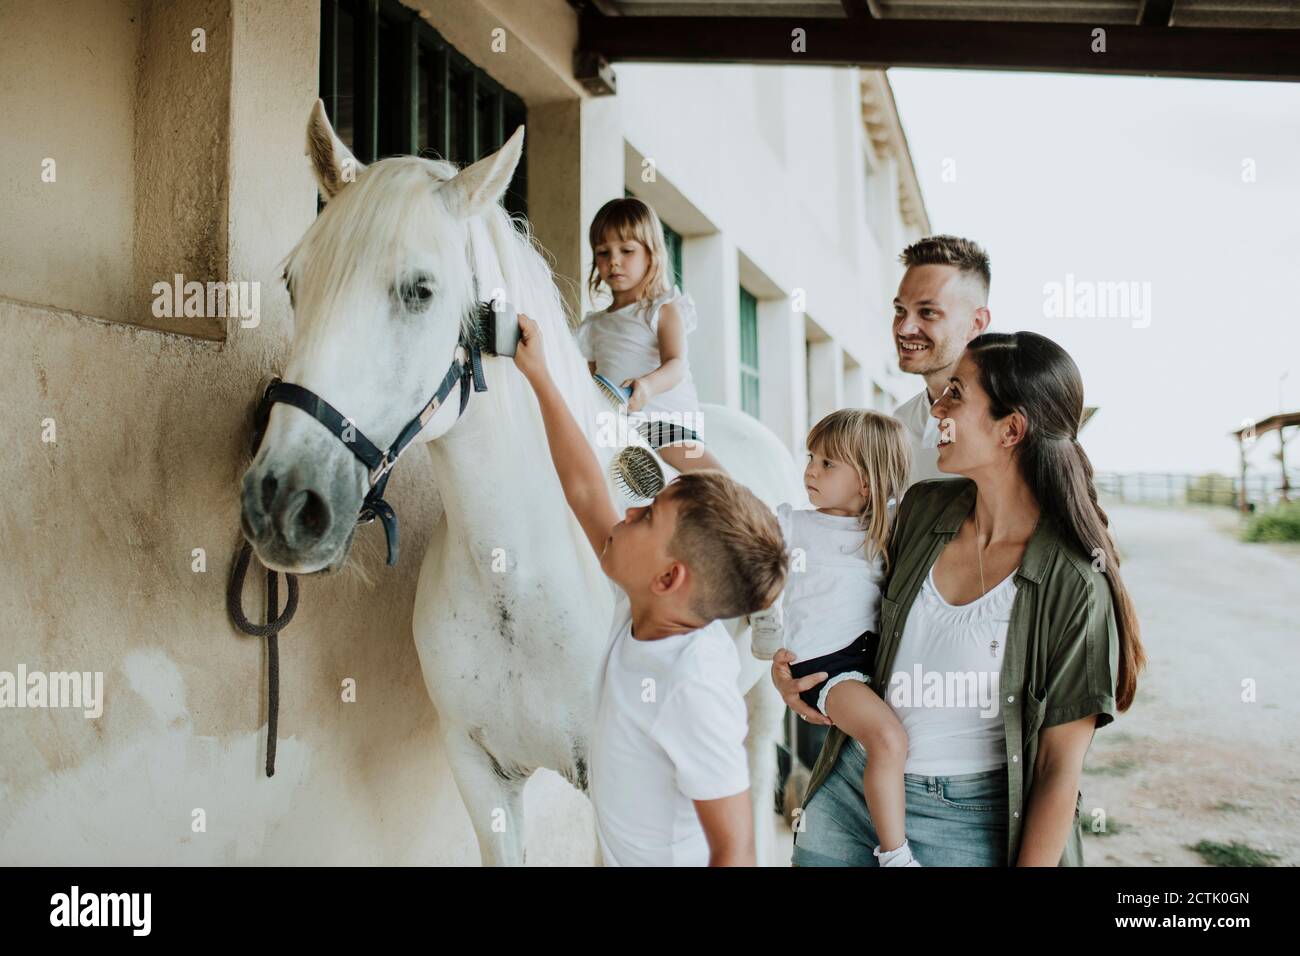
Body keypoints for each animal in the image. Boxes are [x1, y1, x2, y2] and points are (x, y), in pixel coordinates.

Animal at [236, 102, 800, 868]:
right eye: (294, 280)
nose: (283, 502)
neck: (521, 571)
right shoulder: (480, 776)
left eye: (421, 290)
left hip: (761, 701)